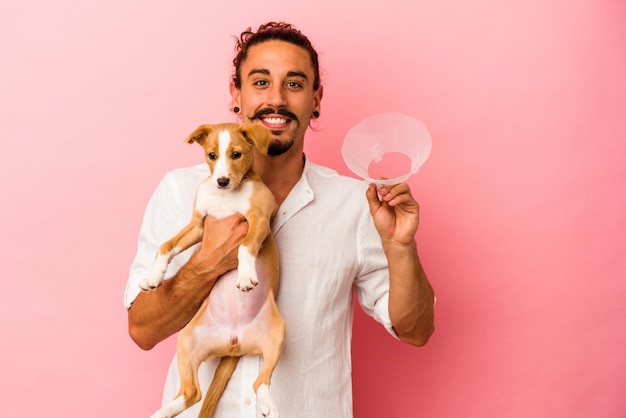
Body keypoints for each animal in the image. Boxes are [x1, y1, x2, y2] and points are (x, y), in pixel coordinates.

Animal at [140, 122, 286, 416]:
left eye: (236, 154)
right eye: (211, 155)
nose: (221, 181)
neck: (225, 197)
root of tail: (234, 344)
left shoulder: (259, 220)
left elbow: (244, 247)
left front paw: (245, 275)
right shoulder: (198, 225)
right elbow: (165, 245)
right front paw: (153, 277)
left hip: (278, 334)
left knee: (259, 382)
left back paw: (268, 405)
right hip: (186, 341)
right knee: (192, 393)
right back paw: (162, 412)